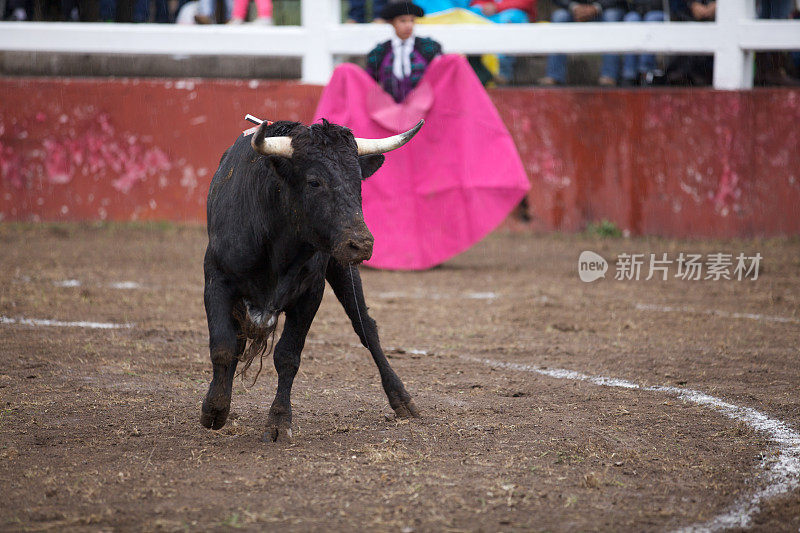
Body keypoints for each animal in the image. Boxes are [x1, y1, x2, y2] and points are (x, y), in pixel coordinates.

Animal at [200, 118, 422, 438]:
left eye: (359, 182)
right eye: (314, 182)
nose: (361, 244)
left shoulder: (309, 294)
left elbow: (288, 356)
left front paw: (279, 421)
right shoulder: (216, 280)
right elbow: (223, 346)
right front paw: (215, 408)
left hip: (342, 268)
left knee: (366, 328)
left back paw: (402, 400)